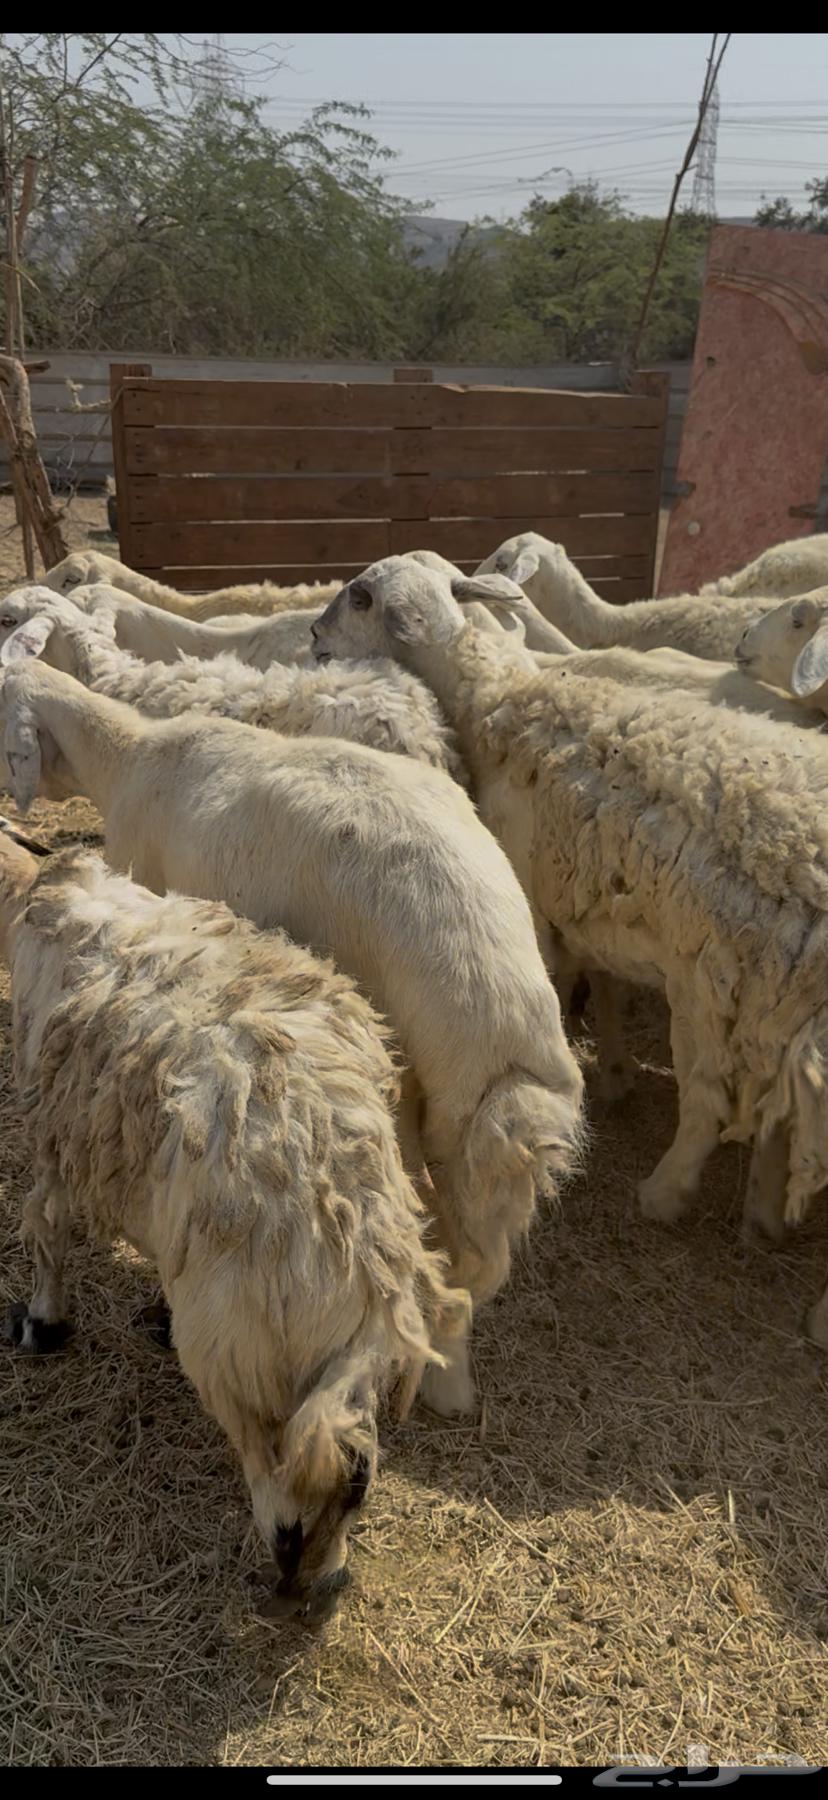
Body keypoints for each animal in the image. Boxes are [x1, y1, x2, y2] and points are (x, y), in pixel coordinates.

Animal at [0, 663, 584, 1414]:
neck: (128, 754)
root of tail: (502, 1013)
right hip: (468, 1131)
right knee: (469, 1261)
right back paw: (452, 1380)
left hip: (397, 1095)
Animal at [0, 828, 468, 1614]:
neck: (36, 894)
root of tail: (353, 1242)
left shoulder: (56, 1135)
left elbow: (47, 1233)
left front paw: (42, 1324)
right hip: (339, 1372)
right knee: (351, 1465)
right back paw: (330, 1571)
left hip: (232, 1349)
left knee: (279, 1482)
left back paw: (285, 1567)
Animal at [311, 555, 828, 1339]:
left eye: (363, 597)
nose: (313, 637)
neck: (499, 703)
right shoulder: (591, 910)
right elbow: (605, 986)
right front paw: (612, 1072)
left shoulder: (536, 900)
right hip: (774, 1005)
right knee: (774, 1113)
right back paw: (764, 1214)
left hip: (712, 984)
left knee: (708, 1102)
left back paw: (667, 1194)